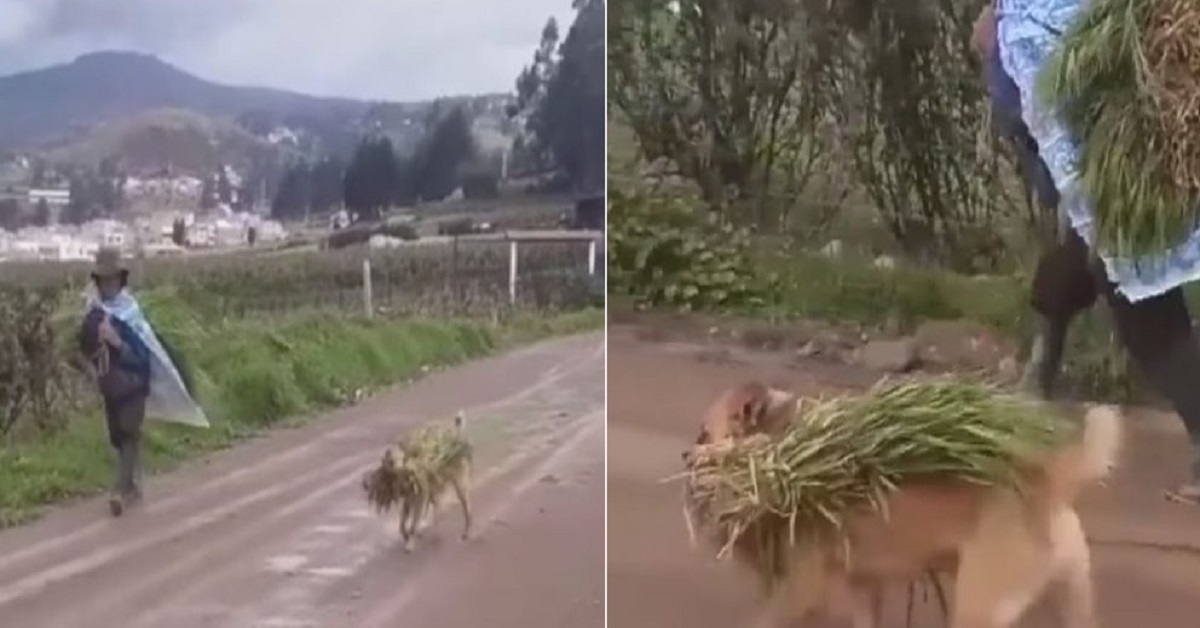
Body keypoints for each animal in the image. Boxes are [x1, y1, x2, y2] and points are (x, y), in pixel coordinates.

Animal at [691, 381, 1118, 628]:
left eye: (703, 434)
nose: (684, 455)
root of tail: (1048, 482)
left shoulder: (800, 595)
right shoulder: (862, 589)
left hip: (977, 609)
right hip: (1070, 605)